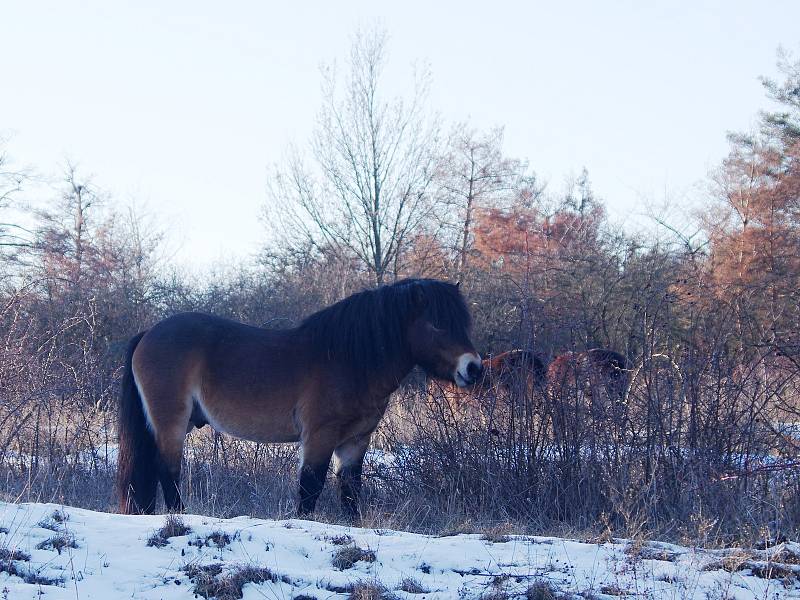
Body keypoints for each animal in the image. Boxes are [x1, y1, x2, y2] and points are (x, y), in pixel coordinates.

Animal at [117, 278, 482, 516]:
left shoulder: (356, 441)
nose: (474, 367)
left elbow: (350, 491)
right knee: (168, 471)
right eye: (437, 324)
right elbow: (311, 487)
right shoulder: (319, 436)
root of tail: (148, 334)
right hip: (172, 423)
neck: (349, 360)